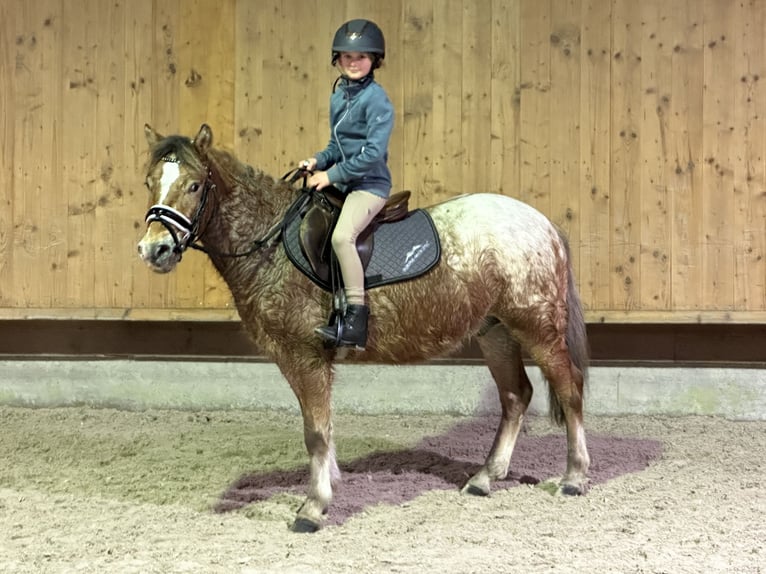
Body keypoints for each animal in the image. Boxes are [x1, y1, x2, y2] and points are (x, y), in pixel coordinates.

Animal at [138, 124, 592, 532]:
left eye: (195, 185)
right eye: (149, 182)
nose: (153, 250)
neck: (271, 243)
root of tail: (542, 223)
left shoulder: (305, 357)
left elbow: (316, 433)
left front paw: (313, 507)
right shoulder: (294, 359)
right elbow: (322, 429)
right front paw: (328, 484)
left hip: (536, 326)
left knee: (569, 389)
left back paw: (573, 477)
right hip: (495, 331)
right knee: (516, 395)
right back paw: (485, 478)